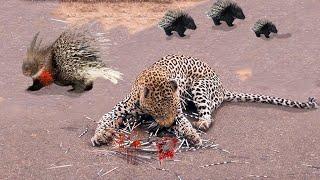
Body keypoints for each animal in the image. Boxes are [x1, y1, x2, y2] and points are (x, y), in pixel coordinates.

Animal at [91, 53, 318, 146]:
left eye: (174, 112)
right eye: (161, 111)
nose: (169, 124)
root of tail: (223, 88)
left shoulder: (179, 111)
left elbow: (184, 124)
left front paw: (191, 136)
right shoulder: (121, 107)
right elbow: (105, 118)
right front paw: (100, 135)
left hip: (199, 87)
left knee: (208, 115)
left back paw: (200, 123)